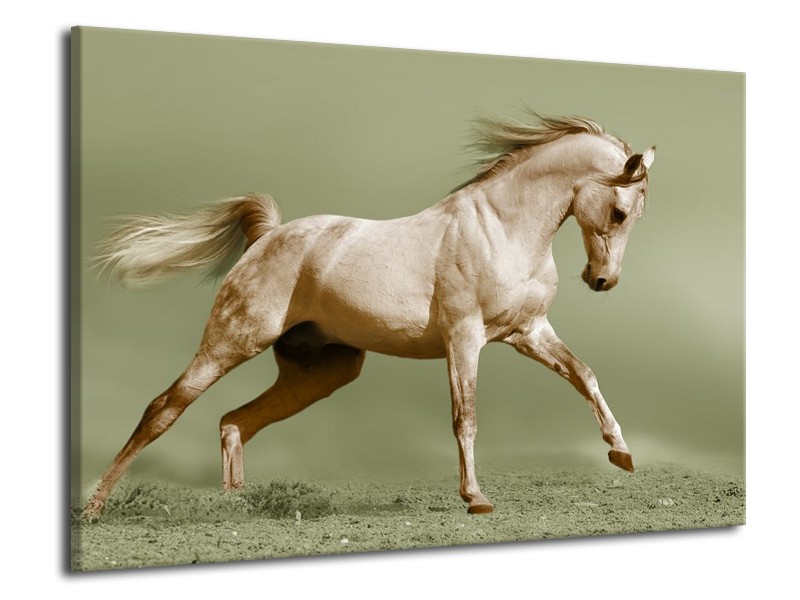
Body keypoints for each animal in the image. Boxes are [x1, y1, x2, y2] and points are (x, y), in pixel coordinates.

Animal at [81, 113, 656, 519]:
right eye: (621, 212)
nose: (602, 280)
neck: (501, 228)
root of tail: (269, 235)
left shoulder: (528, 333)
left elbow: (584, 375)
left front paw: (622, 454)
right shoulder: (464, 339)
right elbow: (465, 417)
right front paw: (475, 498)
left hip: (322, 373)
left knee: (235, 421)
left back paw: (235, 506)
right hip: (231, 342)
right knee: (163, 408)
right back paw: (93, 506)